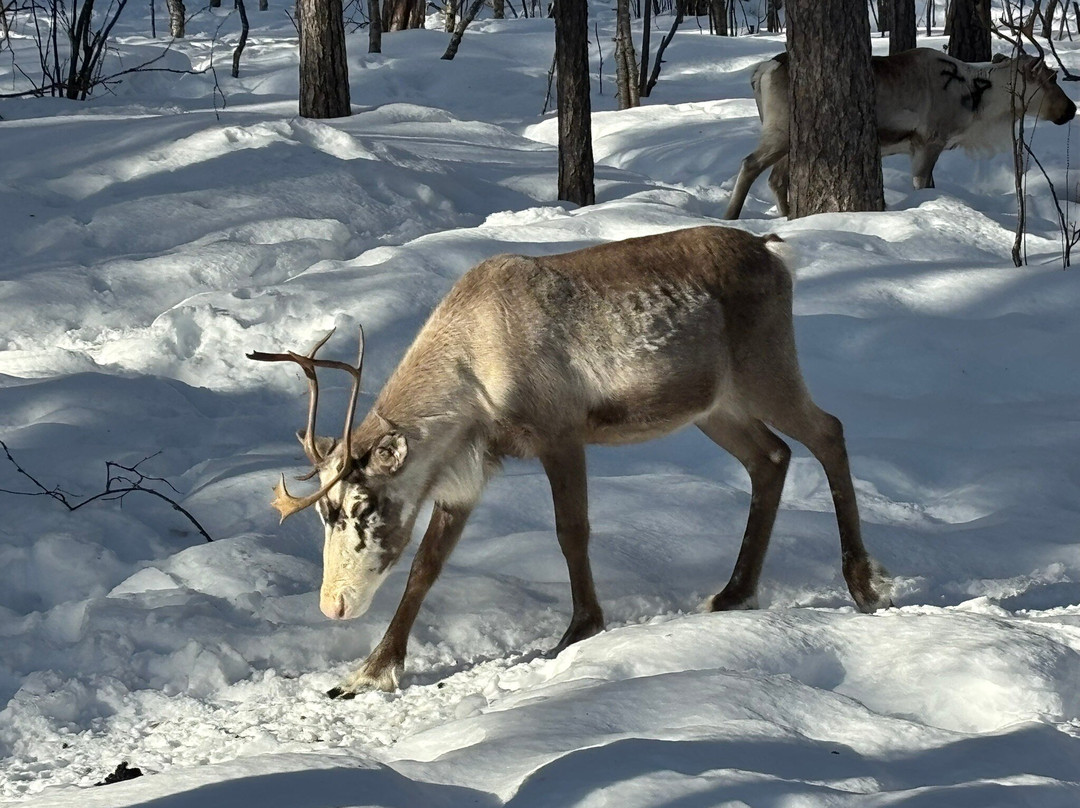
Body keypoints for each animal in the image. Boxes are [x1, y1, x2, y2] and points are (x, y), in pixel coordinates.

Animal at [248, 226, 892, 698]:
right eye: (323, 514)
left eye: (365, 507)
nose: (334, 606)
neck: (474, 379)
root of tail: (773, 250)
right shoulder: (467, 473)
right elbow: (426, 566)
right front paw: (369, 672)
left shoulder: (560, 434)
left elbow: (571, 530)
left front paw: (580, 629)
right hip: (715, 406)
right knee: (772, 457)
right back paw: (733, 592)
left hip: (767, 370)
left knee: (828, 432)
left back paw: (864, 583)